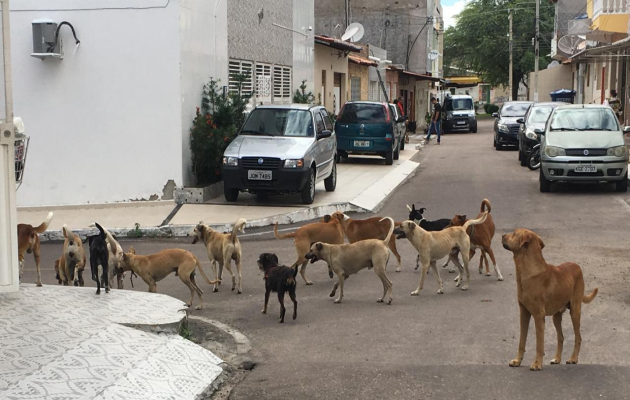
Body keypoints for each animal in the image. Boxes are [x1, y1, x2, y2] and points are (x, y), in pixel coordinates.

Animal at [502, 228, 600, 372]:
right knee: (561, 337)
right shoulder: (524, 313)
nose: (502, 235)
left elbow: (539, 344)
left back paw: (573, 358)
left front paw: (537, 363)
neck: (528, 268)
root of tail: (577, 266)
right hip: (556, 316)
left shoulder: (538, 316)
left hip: (575, 311)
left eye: (514, 233)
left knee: (578, 337)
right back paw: (557, 359)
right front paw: (517, 361)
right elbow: (521, 341)